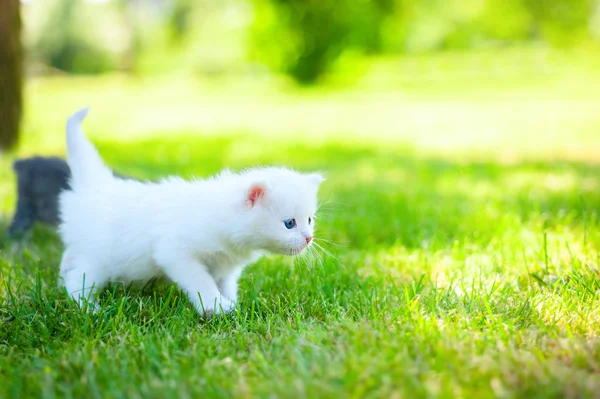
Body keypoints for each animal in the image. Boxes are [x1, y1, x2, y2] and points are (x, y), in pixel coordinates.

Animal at [57, 108, 324, 318]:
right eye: (289, 223)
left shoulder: (226, 266)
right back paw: (89, 309)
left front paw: (232, 304)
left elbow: (226, 285)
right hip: (97, 257)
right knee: (77, 280)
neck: (222, 217)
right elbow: (201, 282)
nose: (308, 238)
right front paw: (217, 308)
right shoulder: (176, 253)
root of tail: (96, 187)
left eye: (309, 220)